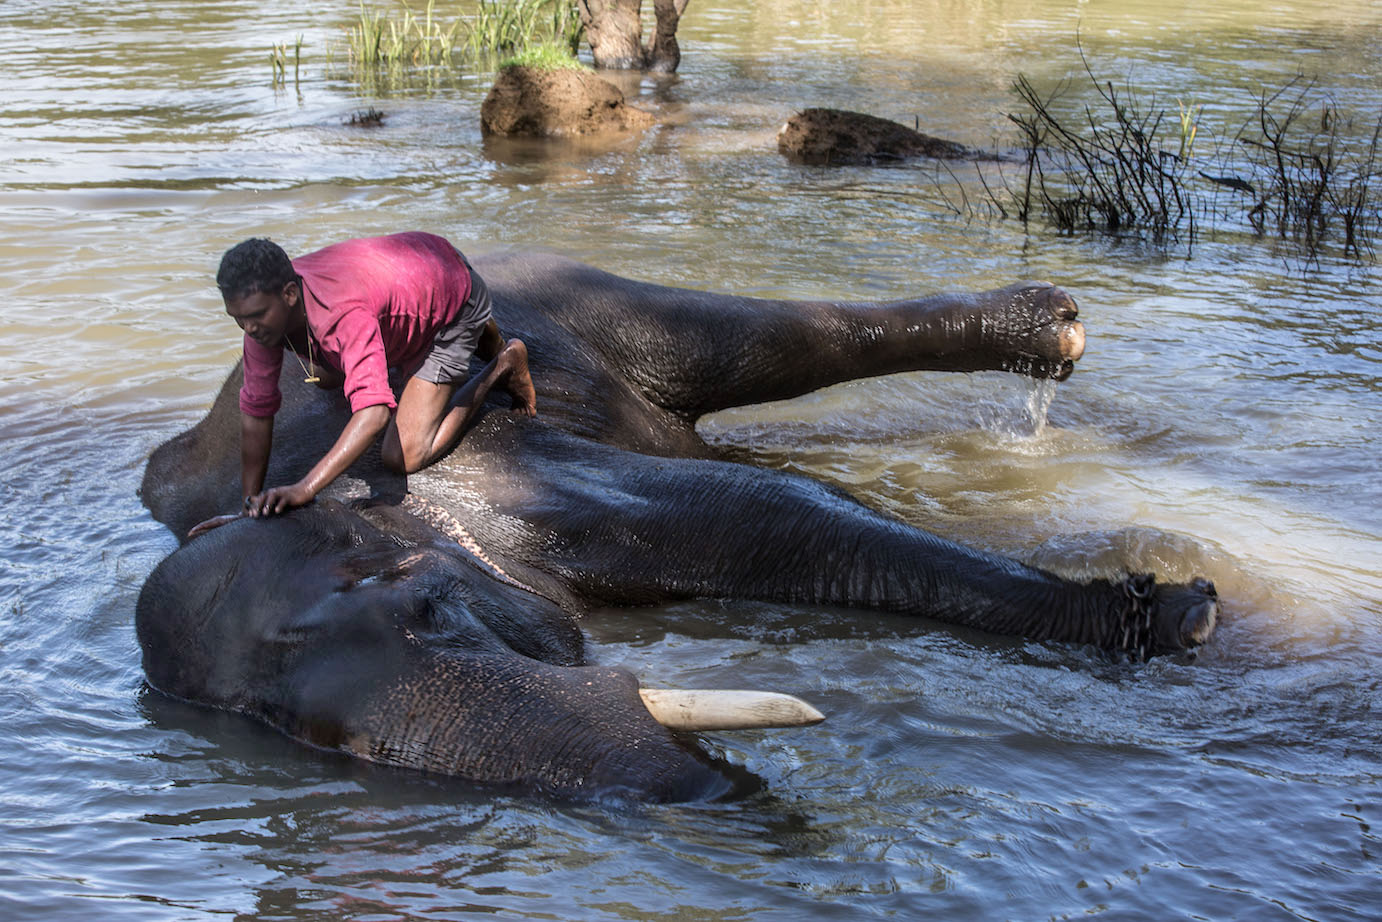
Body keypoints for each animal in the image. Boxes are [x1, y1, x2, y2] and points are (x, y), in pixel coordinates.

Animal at [137, 250, 1221, 801]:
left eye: (433, 611)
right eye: (315, 738)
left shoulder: (489, 475)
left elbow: (767, 517)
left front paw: (1173, 616)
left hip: (565, 303)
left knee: (767, 342)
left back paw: (1052, 326)